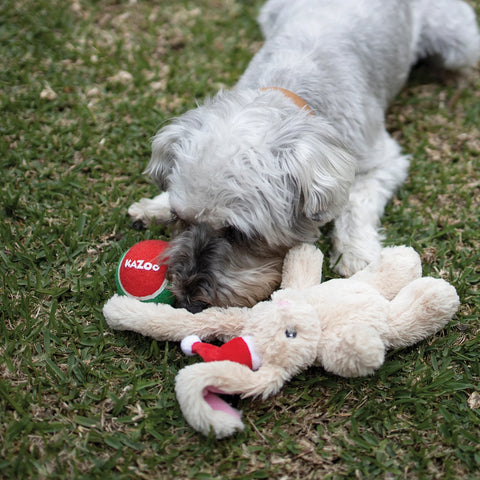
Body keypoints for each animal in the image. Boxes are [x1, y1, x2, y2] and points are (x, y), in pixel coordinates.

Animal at [128, 0, 480, 314]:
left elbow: (355, 203)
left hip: (457, 39)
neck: (288, 87)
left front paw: (356, 253)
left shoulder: (382, 160)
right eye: (179, 218)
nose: (188, 300)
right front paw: (153, 206)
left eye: (238, 233)